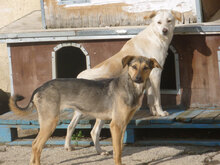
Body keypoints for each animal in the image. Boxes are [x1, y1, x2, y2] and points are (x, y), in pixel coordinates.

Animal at [64, 10, 181, 155]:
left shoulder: (148, 78)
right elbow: (157, 98)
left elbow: (150, 98)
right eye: (159, 22)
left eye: (169, 21)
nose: (164, 30)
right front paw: (160, 113)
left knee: (70, 126)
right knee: (93, 131)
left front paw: (153, 112)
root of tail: (81, 76)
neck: (155, 36)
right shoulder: (156, 75)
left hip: (80, 110)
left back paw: (68, 146)